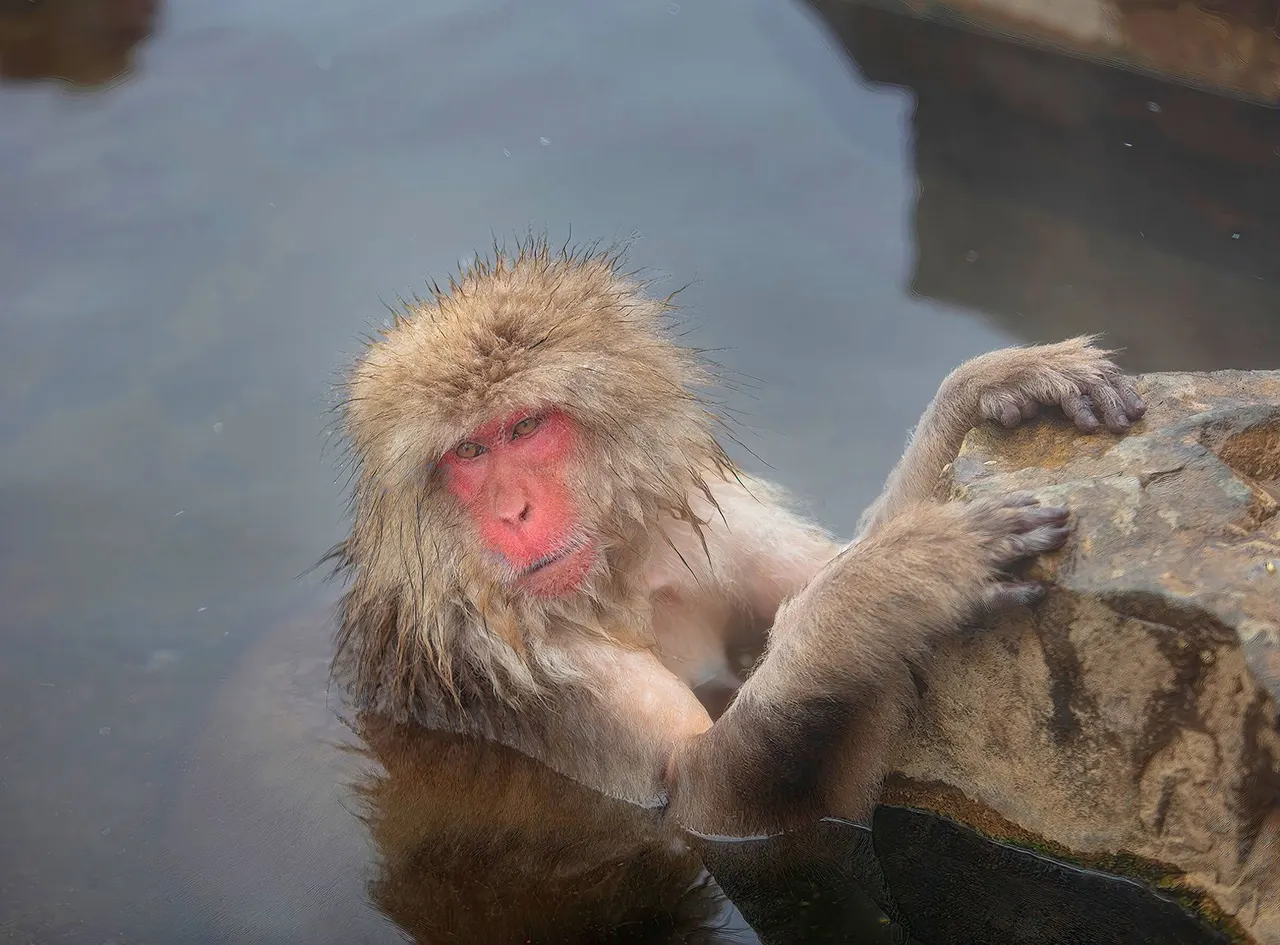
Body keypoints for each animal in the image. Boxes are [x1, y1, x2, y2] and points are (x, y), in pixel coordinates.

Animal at [326, 236, 1146, 844]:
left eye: (525, 427)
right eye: (468, 453)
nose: (513, 513)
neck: (615, 580)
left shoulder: (712, 528)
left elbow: (816, 571)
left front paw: (983, 387)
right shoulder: (534, 670)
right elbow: (703, 803)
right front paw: (889, 586)